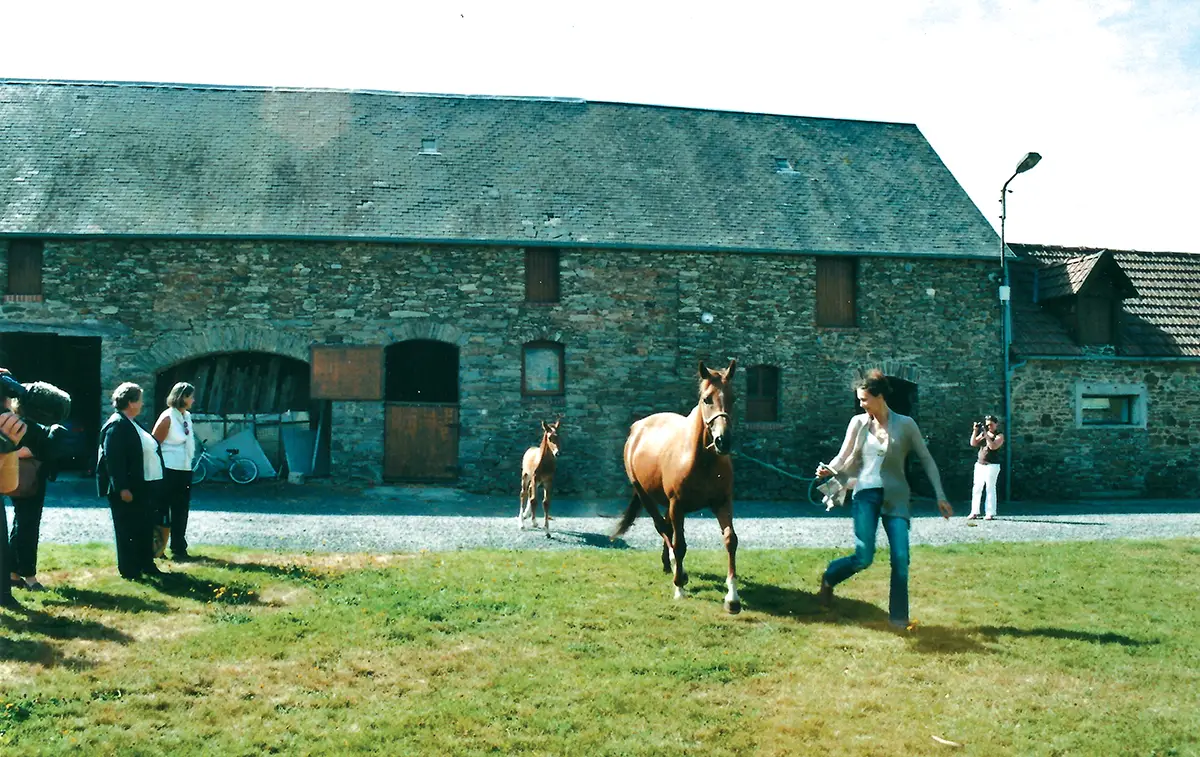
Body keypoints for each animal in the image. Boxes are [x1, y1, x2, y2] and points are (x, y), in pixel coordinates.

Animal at [614, 359, 741, 614]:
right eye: (707, 399)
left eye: (733, 398)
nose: (723, 441)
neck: (701, 459)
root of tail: (637, 428)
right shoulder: (678, 505)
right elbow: (680, 544)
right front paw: (679, 587)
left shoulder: (722, 502)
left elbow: (730, 540)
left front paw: (732, 598)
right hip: (645, 494)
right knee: (663, 528)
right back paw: (676, 569)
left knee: (667, 528)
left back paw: (670, 564)